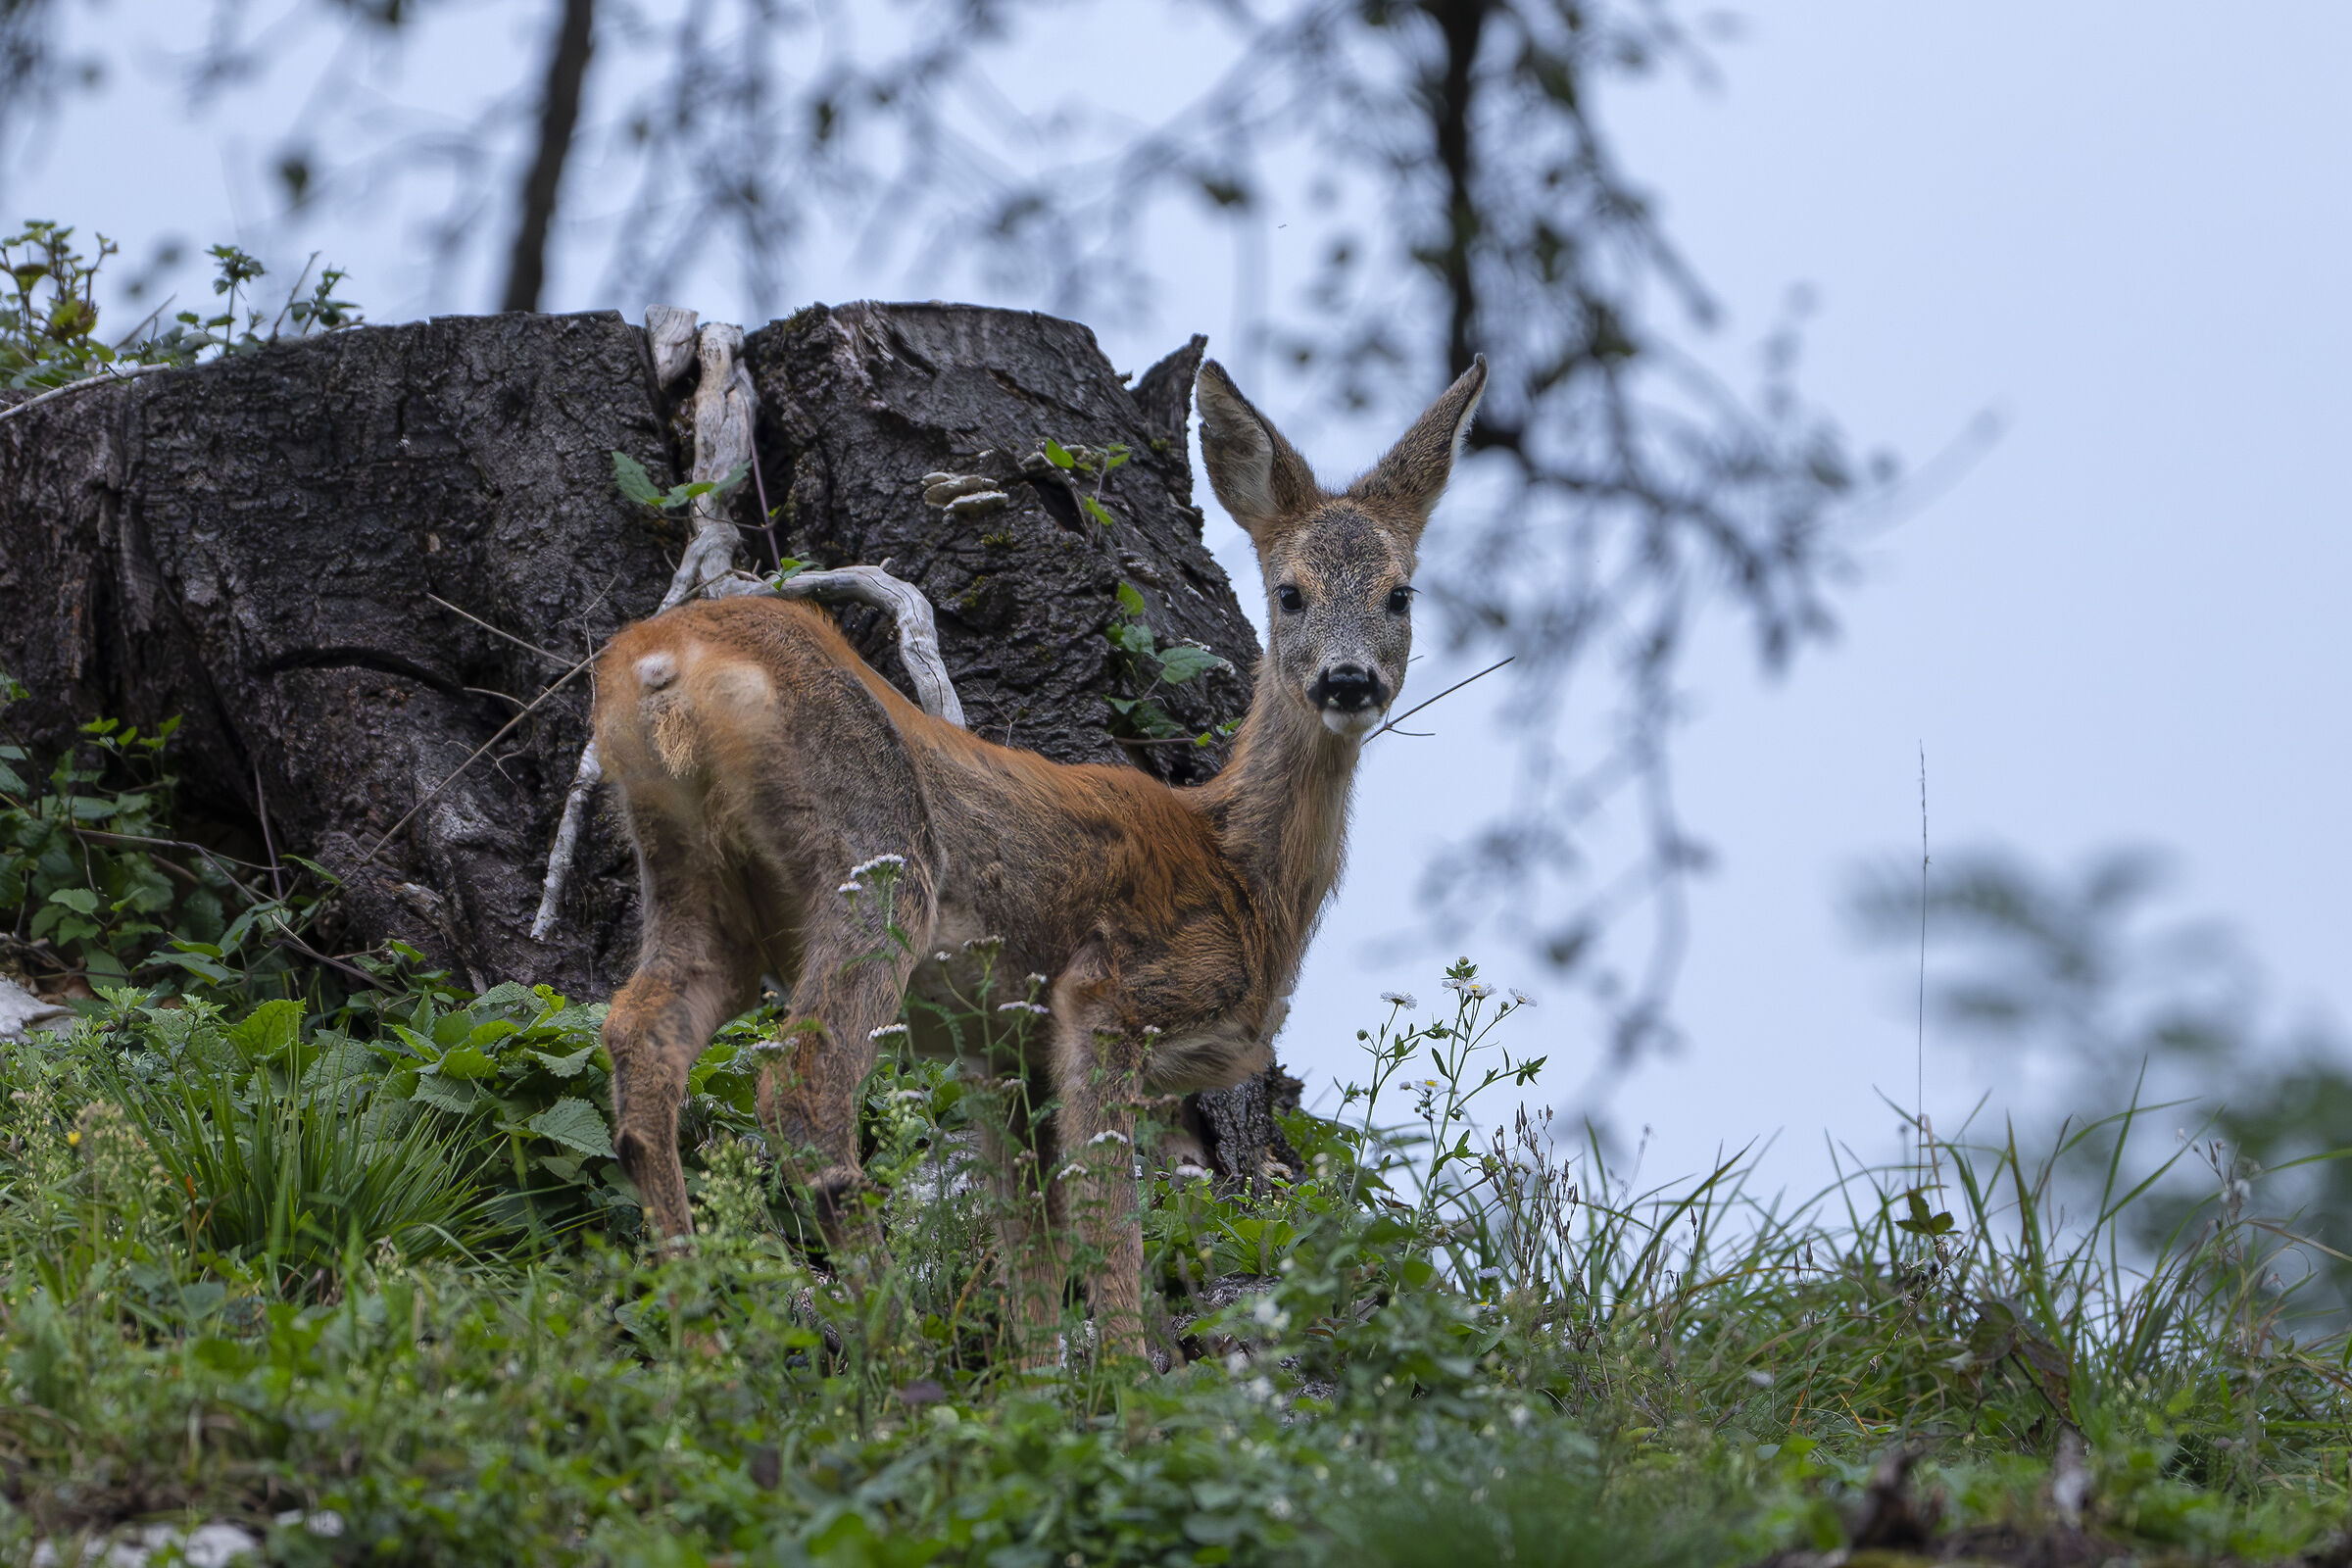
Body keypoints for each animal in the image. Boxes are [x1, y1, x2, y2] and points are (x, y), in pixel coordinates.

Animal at [593, 353, 1486, 1360]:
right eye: (1290, 593)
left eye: (1399, 595)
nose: (1347, 680)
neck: (1244, 874)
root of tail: (660, 657)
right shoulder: (1112, 994)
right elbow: (1107, 1217)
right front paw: (1134, 1376)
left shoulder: (1003, 1049)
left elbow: (1030, 1244)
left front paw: (1040, 1376)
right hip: (878, 862)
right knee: (802, 1082)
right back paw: (897, 1353)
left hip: (697, 876)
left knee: (640, 1038)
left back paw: (700, 1335)